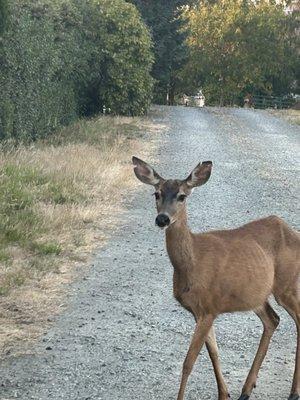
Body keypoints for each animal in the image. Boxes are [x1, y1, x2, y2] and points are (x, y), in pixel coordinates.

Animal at [133, 156, 300, 400]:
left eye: (182, 196)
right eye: (156, 193)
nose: (162, 218)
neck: (192, 262)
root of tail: (293, 232)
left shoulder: (209, 306)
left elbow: (188, 362)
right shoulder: (201, 311)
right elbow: (214, 353)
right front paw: (225, 394)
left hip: (287, 283)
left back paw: (293, 391)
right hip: (257, 295)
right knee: (273, 319)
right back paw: (246, 390)